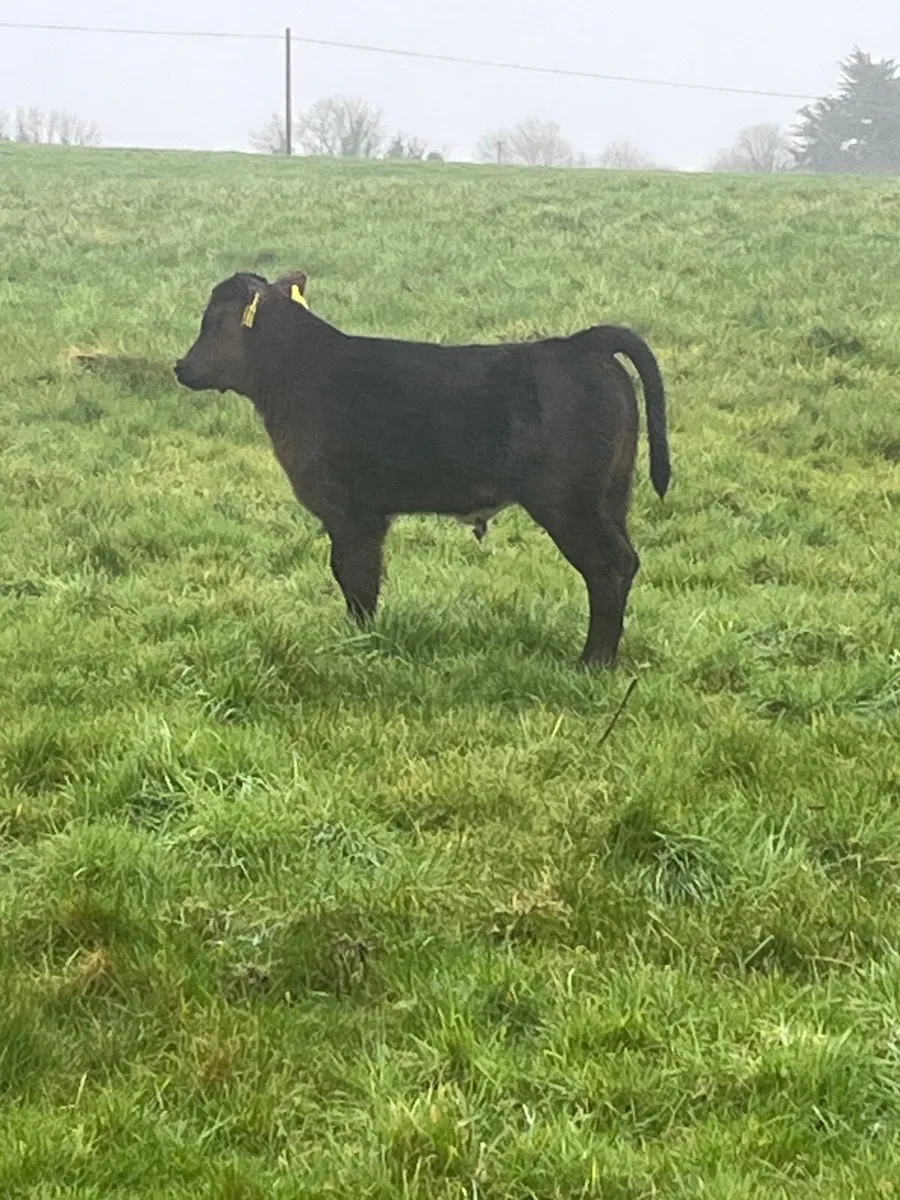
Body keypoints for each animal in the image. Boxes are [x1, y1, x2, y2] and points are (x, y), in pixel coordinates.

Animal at [174, 270, 671, 667]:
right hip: (611, 497)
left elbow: (354, 576)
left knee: (609, 567)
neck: (298, 374)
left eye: (211, 321)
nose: (182, 367)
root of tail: (580, 344)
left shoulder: (351, 512)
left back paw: (592, 663)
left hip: (570, 503)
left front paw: (356, 644)